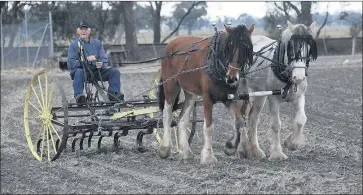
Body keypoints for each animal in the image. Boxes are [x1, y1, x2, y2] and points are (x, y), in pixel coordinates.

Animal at [158, 24, 255, 165]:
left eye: (246, 48)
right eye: (229, 47)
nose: (232, 78)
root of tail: (170, 44)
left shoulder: (228, 98)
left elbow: (239, 122)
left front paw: (230, 147)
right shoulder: (207, 98)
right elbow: (209, 127)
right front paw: (208, 156)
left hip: (191, 93)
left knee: (182, 119)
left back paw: (186, 153)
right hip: (170, 87)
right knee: (167, 114)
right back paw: (165, 149)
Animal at [226, 20, 320, 160]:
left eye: (309, 48)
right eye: (290, 48)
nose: (298, 77)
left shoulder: (299, 96)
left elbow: (301, 119)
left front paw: (292, 143)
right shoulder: (273, 98)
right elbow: (276, 125)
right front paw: (277, 153)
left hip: (260, 94)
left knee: (253, 118)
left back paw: (256, 150)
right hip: (241, 91)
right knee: (240, 118)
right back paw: (243, 148)